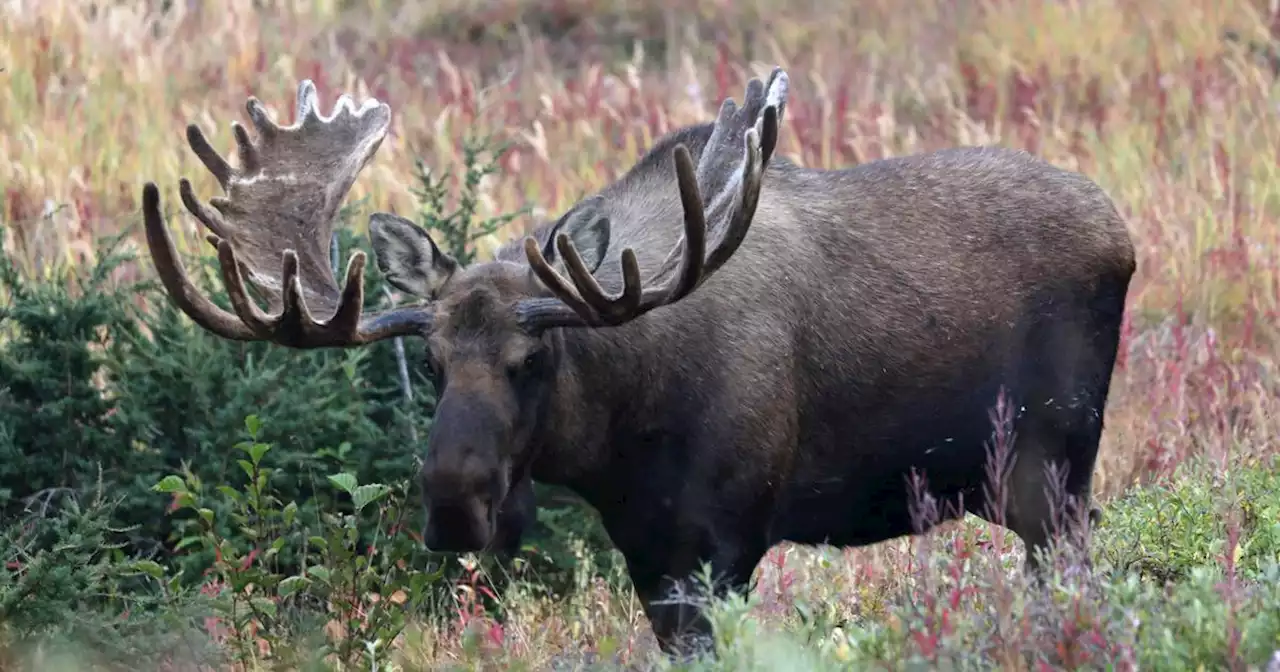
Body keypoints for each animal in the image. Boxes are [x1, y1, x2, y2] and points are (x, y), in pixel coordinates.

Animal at [142, 65, 1141, 652]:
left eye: (534, 357)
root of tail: (1123, 233)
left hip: (1052, 471)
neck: (619, 443)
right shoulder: (649, 553)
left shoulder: (725, 544)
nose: (456, 504)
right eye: (428, 361)